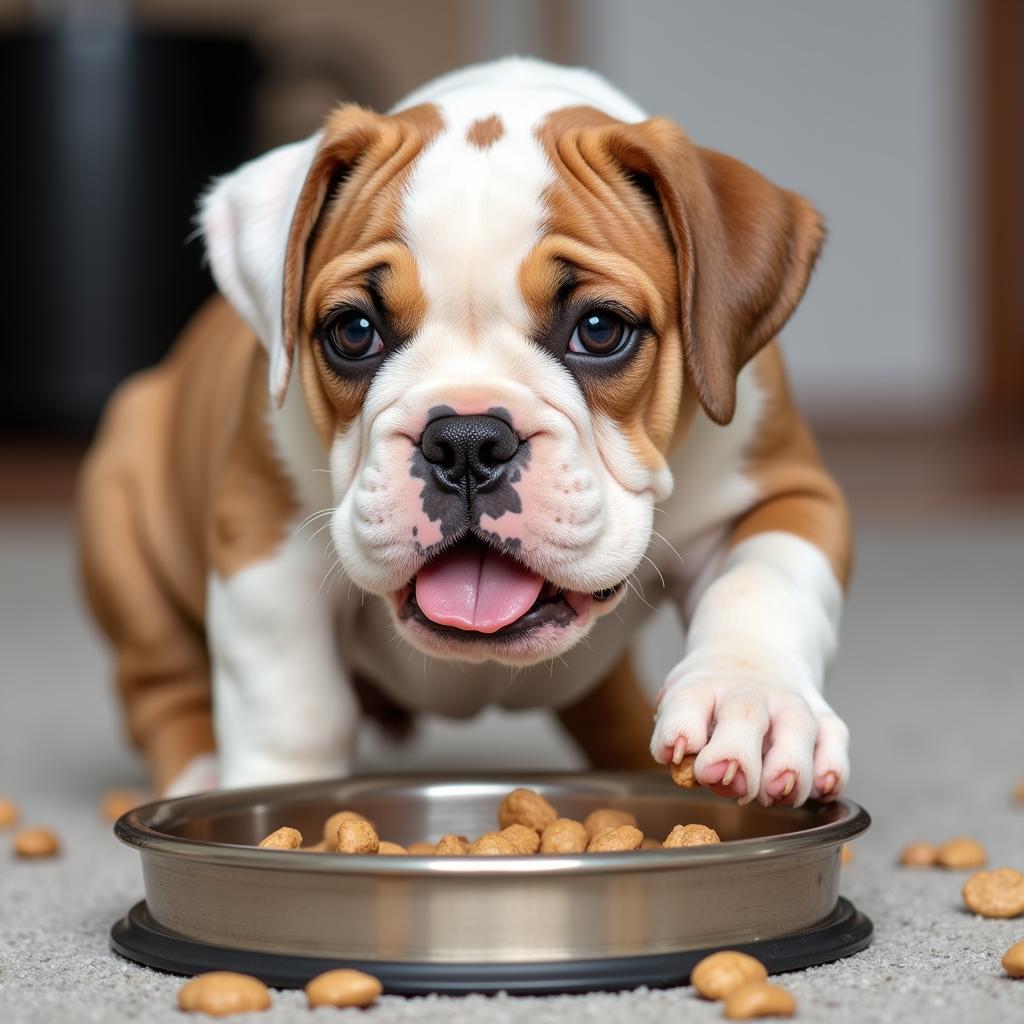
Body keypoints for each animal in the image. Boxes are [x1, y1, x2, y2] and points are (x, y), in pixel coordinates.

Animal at [77, 58, 847, 806]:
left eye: (600, 329)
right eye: (353, 332)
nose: (468, 442)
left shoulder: (787, 494)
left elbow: (762, 582)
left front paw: (750, 700)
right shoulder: (266, 545)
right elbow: (292, 704)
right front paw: (274, 793)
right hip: (121, 518)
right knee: (162, 687)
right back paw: (200, 774)